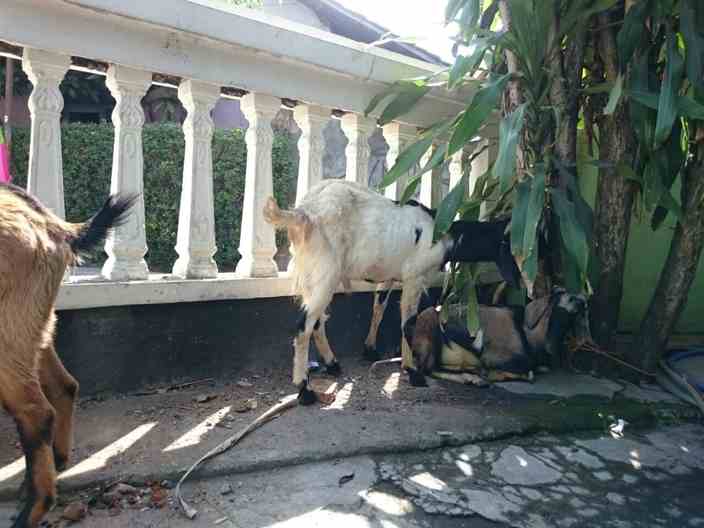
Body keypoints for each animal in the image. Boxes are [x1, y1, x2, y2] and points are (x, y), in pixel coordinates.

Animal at [0, 183, 135, 528]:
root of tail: (52, 226)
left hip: (7, 339)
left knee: (37, 413)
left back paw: (32, 509)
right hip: (33, 331)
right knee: (64, 387)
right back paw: (52, 465)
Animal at [263, 179, 520, 404]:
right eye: (508, 245)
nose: (519, 280)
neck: (442, 233)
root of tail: (304, 213)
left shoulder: (388, 277)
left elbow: (379, 308)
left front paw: (370, 350)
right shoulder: (415, 276)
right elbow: (408, 323)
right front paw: (413, 371)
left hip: (313, 273)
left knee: (317, 321)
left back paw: (332, 363)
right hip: (325, 272)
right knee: (304, 326)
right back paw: (304, 390)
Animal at [403, 287, 590, 386]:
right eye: (569, 299)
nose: (584, 303)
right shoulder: (493, 355)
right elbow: (527, 368)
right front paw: (491, 374)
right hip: (429, 327)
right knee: (428, 369)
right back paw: (473, 378)